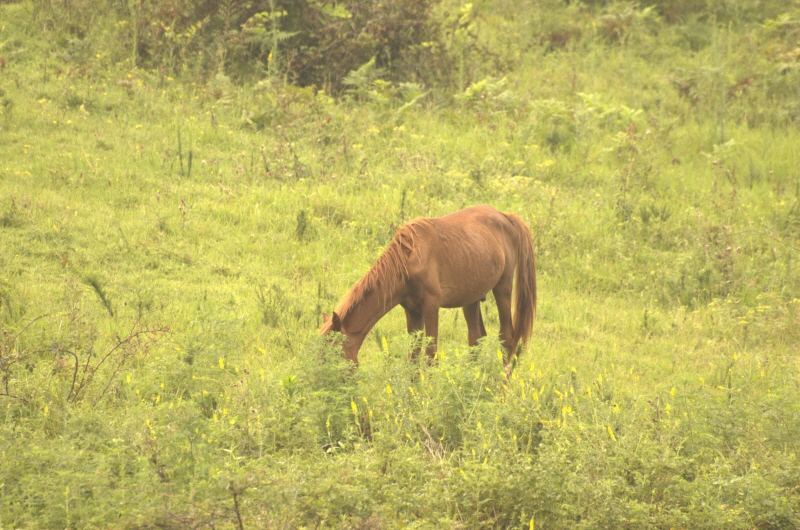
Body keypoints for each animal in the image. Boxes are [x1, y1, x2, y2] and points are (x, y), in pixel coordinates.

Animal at [320, 204, 536, 374]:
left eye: (331, 356)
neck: (409, 260)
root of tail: (505, 217)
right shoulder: (412, 311)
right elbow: (413, 358)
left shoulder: (431, 308)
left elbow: (430, 357)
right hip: (471, 299)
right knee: (476, 338)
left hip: (502, 288)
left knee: (506, 337)